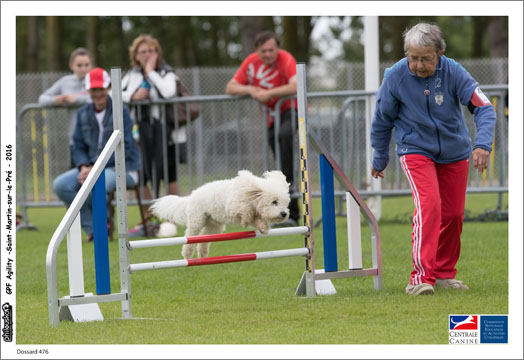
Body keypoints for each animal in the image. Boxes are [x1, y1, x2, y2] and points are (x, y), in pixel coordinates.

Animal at [150, 171, 290, 258]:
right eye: (274, 201)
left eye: (285, 203)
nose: (284, 213)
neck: (248, 195)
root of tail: (192, 195)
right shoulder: (233, 207)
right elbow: (246, 211)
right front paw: (246, 219)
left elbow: (256, 219)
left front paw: (263, 227)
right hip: (197, 220)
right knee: (190, 235)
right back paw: (187, 254)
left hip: (214, 226)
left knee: (204, 238)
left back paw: (202, 253)